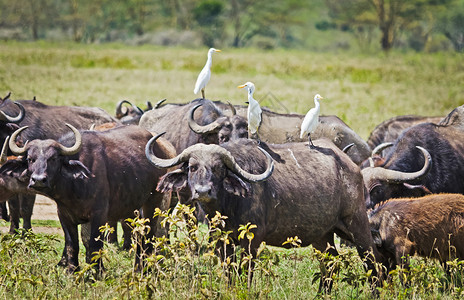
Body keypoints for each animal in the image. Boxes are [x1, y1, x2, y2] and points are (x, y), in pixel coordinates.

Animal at [0, 123, 176, 274]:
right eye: (30, 159)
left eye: (53, 158)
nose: (38, 180)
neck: (73, 185)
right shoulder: (64, 215)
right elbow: (72, 245)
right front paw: (72, 271)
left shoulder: (99, 215)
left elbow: (94, 245)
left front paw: (96, 273)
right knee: (139, 235)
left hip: (154, 202)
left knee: (150, 235)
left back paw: (144, 268)